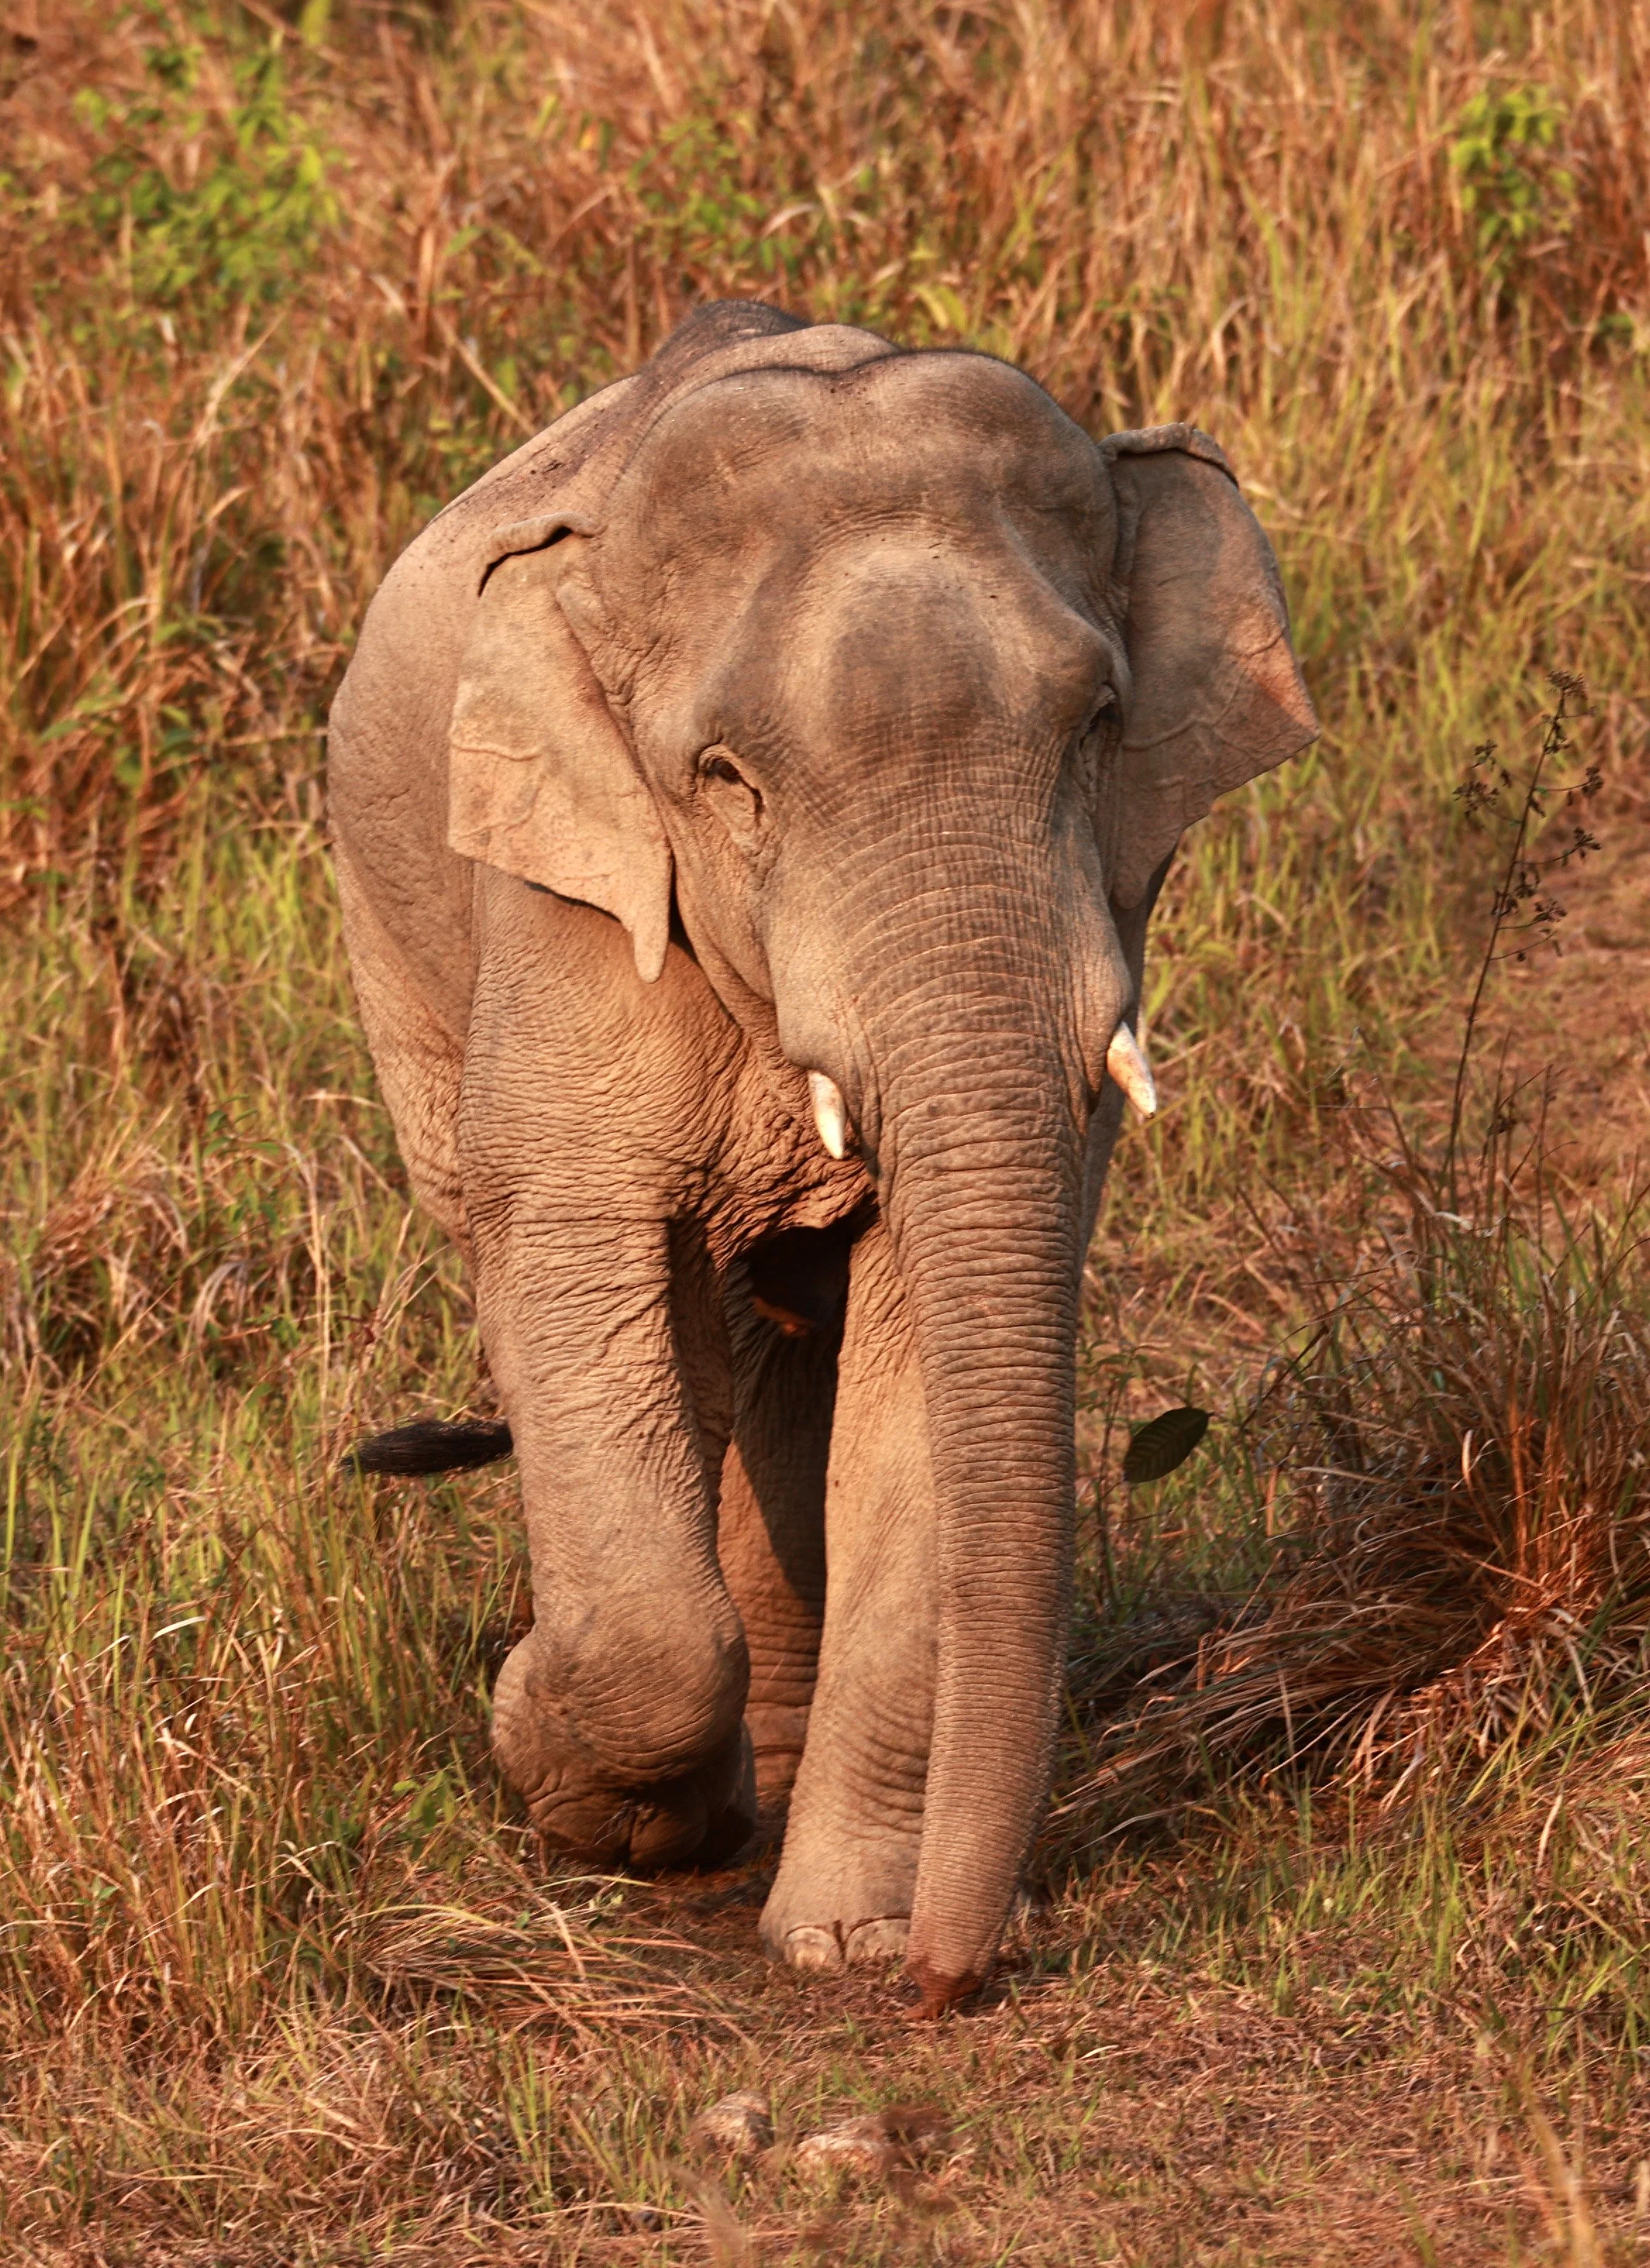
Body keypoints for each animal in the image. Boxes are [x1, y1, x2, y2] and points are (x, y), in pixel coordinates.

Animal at [327, 299, 1316, 2012]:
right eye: (727, 781)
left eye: (1098, 728)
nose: (947, 1981)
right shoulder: (571, 903)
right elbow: (574, 1259)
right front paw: (562, 1769)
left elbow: (926, 1332)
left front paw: (843, 1941)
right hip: (397, 952)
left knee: (784, 1337)